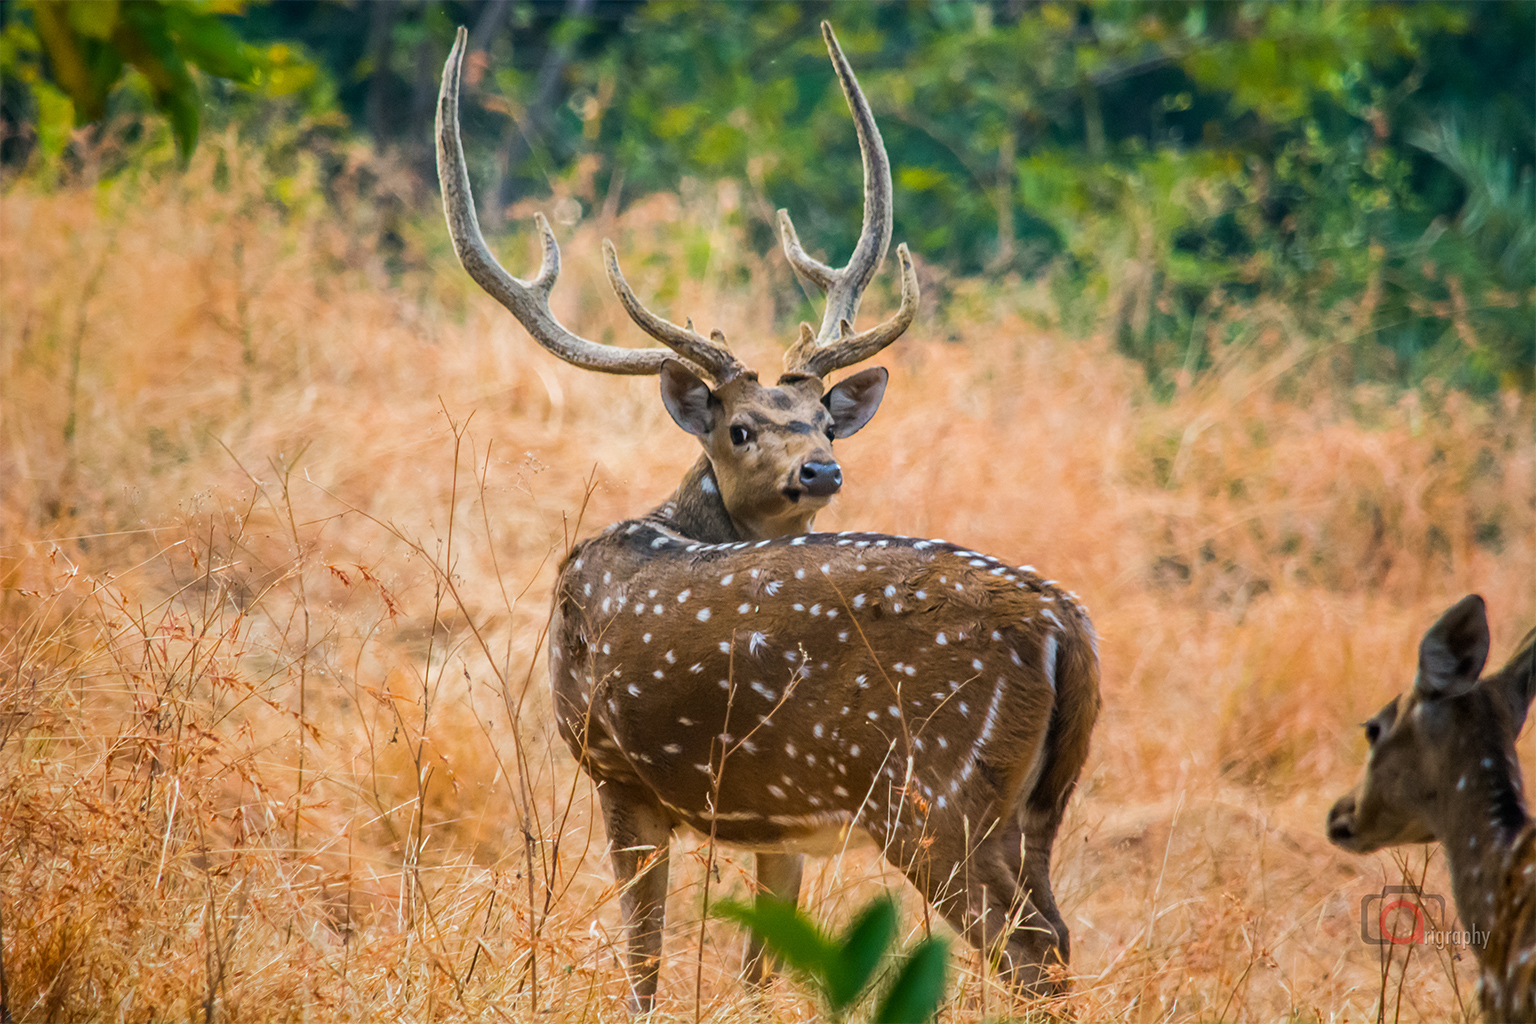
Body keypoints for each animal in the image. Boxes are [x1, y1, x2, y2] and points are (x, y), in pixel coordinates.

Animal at [439, 23, 1099, 1019]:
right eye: (742, 427)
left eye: (825, 418)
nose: (821, 466)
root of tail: (1067, 628)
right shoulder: (782, 815)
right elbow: (759, 965)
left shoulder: (616, 769)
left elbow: (643, 960)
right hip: (1039, 804)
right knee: (1058, 940)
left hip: (934, 796)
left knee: (1031, 952)